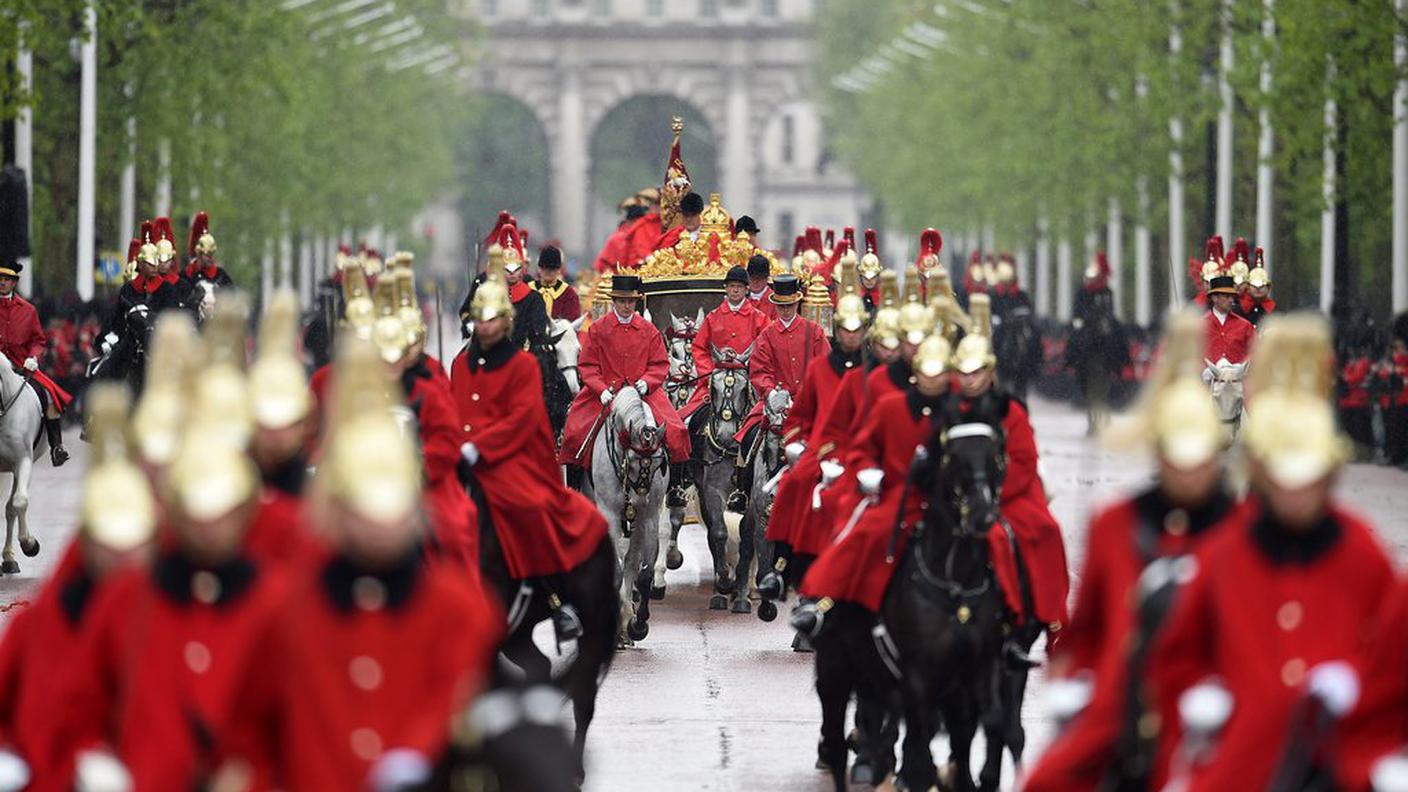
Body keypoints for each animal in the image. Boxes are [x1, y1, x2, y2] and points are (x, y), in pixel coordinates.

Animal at [588, 386, 664, 645]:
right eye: (631, 461)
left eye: (659, 463)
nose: (640, 500)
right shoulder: (609, 515)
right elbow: (616, 570)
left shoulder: (649, 518)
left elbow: (643, 573)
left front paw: (637, 624)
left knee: (631, 561)